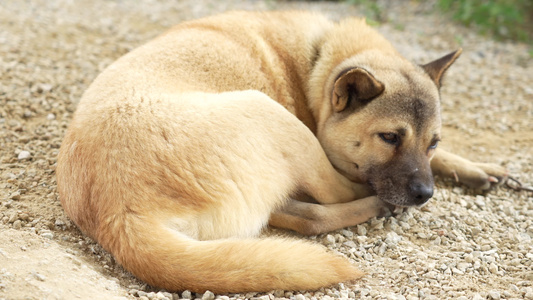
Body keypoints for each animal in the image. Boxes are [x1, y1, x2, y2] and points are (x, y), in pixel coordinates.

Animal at [55, 11, 508, 292]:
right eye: (390, 138)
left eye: (433, 142)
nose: (425, 195)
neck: (319, 61)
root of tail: (120, 217)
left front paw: (477, 168)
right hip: (270, 113)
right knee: (328, 203)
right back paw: (377, 205)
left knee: (302, 212)